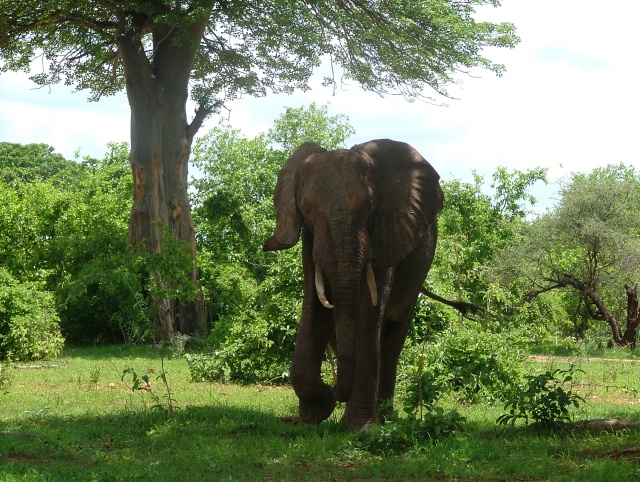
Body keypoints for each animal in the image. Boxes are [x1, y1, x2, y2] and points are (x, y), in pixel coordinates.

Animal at [263, 138, 443, 431]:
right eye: (307, 210)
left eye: (370, 207)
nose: (335, 390)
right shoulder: (310, 240)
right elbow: (313, 307)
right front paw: (315, 413)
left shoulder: (385, 236)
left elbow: (369, 315)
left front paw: (362, 429)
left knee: (392, 338)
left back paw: (384, 417)